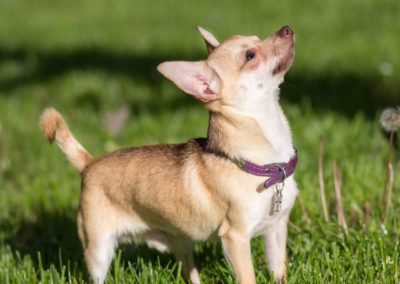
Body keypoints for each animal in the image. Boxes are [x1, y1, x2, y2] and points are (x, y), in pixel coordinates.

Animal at [39, 26, 296, 284]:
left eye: (256, 38)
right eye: (250, 56)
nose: (286, 29)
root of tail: (90, 163)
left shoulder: (276, 229)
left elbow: (279, 270)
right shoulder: (235, 238)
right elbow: (248, 277)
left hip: (181, 242)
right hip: (99, 250)